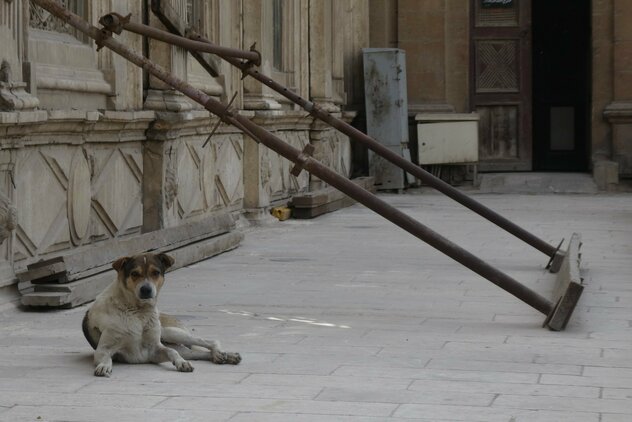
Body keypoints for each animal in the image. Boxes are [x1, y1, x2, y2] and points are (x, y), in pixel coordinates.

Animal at [82, 252, 241, 378]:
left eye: (156, 272)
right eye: (134, 274)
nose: (146, 289)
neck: (138, 312)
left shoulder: (154, 349)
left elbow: (172, 352)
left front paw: (181, 363)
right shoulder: (104, 349)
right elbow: (106, 357)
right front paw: (104, 366)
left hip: (170, 333)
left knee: (207, 341)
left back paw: (222, 353)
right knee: (197, 353)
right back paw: (223, 357)